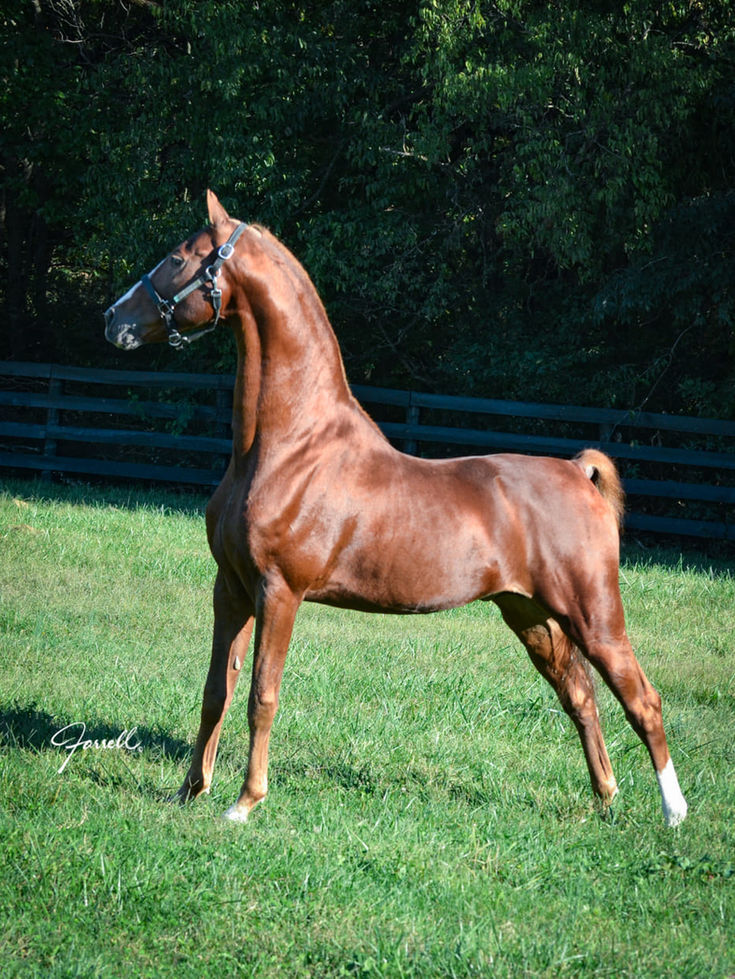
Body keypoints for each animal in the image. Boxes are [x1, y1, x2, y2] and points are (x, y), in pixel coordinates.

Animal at [104, 190, 688, 827]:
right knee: (580, 696)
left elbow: (262, 694)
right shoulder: (230, 586)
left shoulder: (279, 591)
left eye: (178, 258)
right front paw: (190, 791)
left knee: (643, 699)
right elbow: (216, 691)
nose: (113, 319)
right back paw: (604, 800)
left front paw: (245, 802)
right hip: (531, 616)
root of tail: (577, 471)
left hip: (594, 616)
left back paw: (673, 813)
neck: (288, 446)